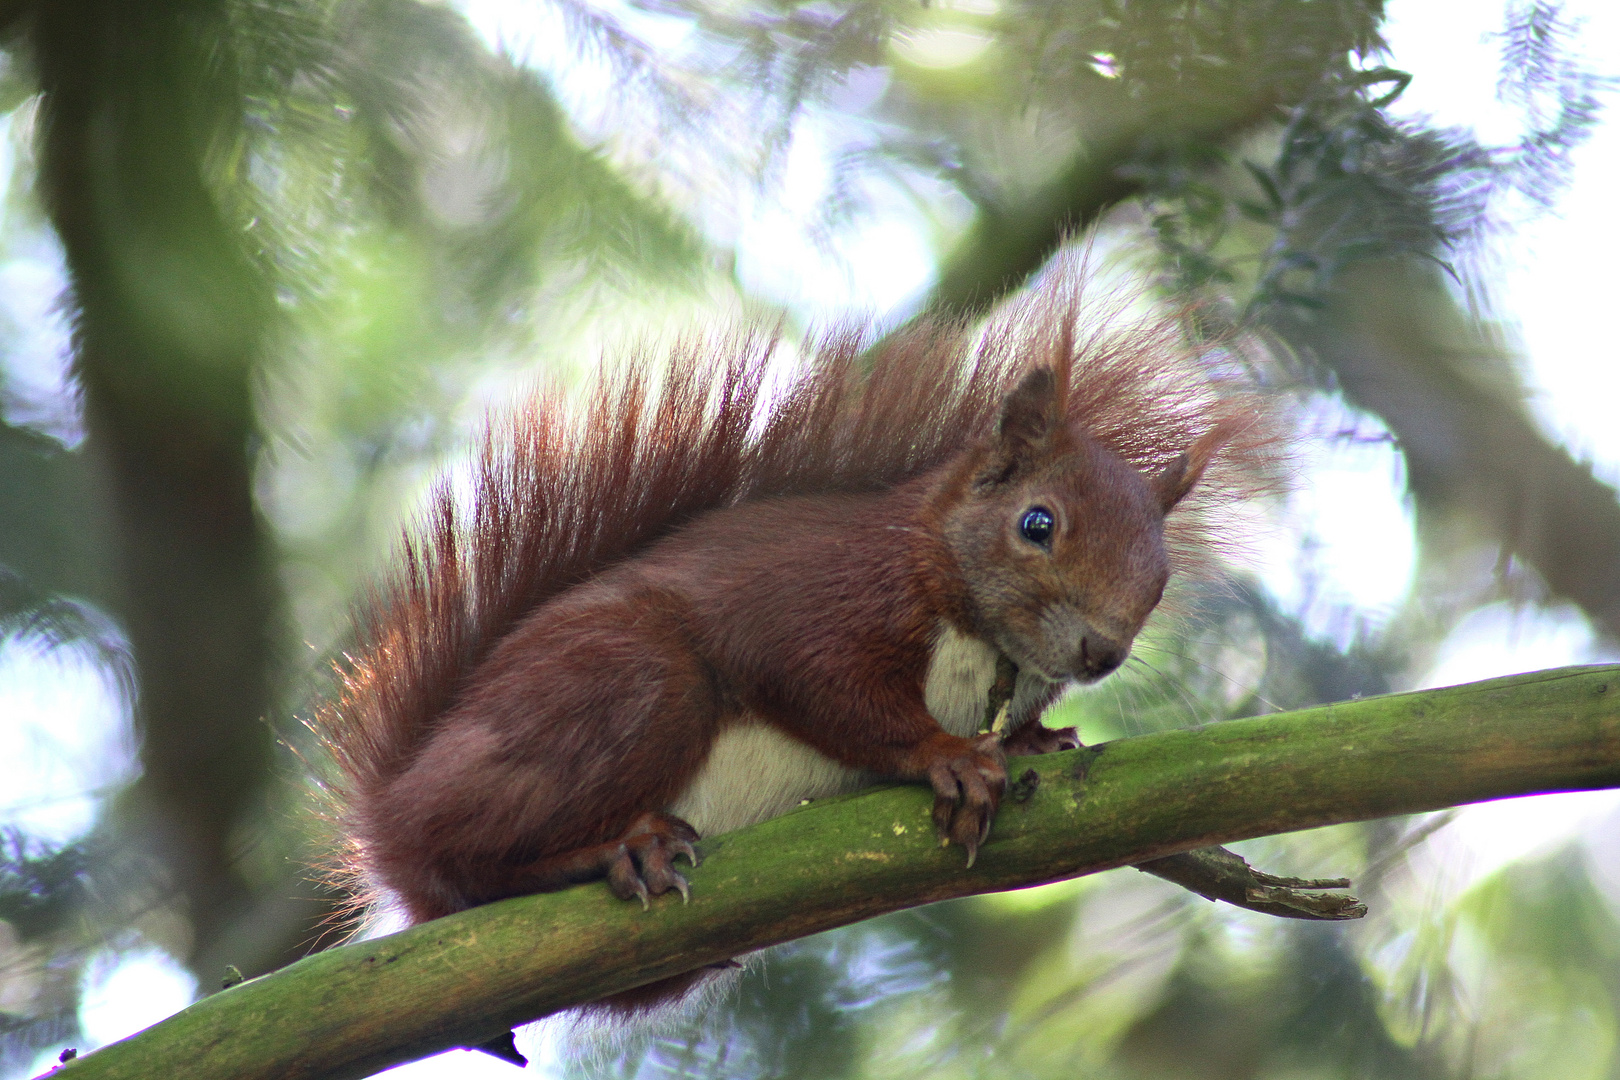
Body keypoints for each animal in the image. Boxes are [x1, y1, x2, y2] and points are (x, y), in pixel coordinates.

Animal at [315, 289, 1276, 1016]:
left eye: (1160, 574)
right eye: (1037, 524)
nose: (1099, 652)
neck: (975, 630)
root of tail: (390, 813)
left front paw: (1042, 738)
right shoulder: (820, 601)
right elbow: (824, 685)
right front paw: (950, 756)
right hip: (626, 684)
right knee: (467, 860)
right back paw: (616, 849)